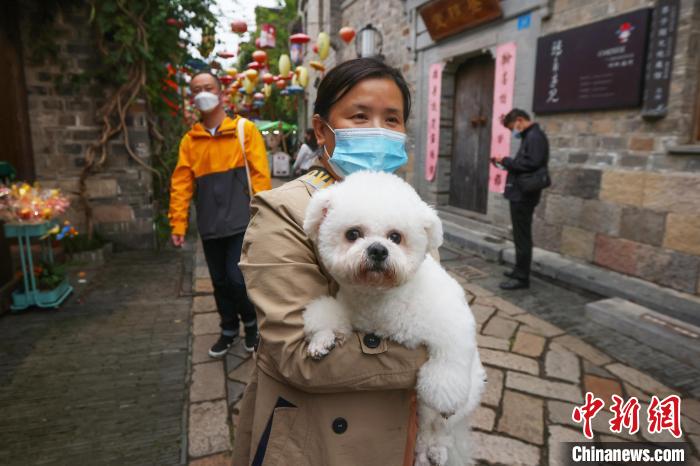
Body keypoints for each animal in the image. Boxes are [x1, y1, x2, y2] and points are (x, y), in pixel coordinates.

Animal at [300, 171, 486, 466]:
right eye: (353, 234)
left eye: (396, 237)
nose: (378, 250)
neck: (382, 299)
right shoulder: (349, 309)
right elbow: (327, 316)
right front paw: (322, 340)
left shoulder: (451, 323)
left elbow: (448, 366)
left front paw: (444, 394)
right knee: (425, 431)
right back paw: (424, 453)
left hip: (459, 399)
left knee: (441, 427)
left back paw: (437, 448)